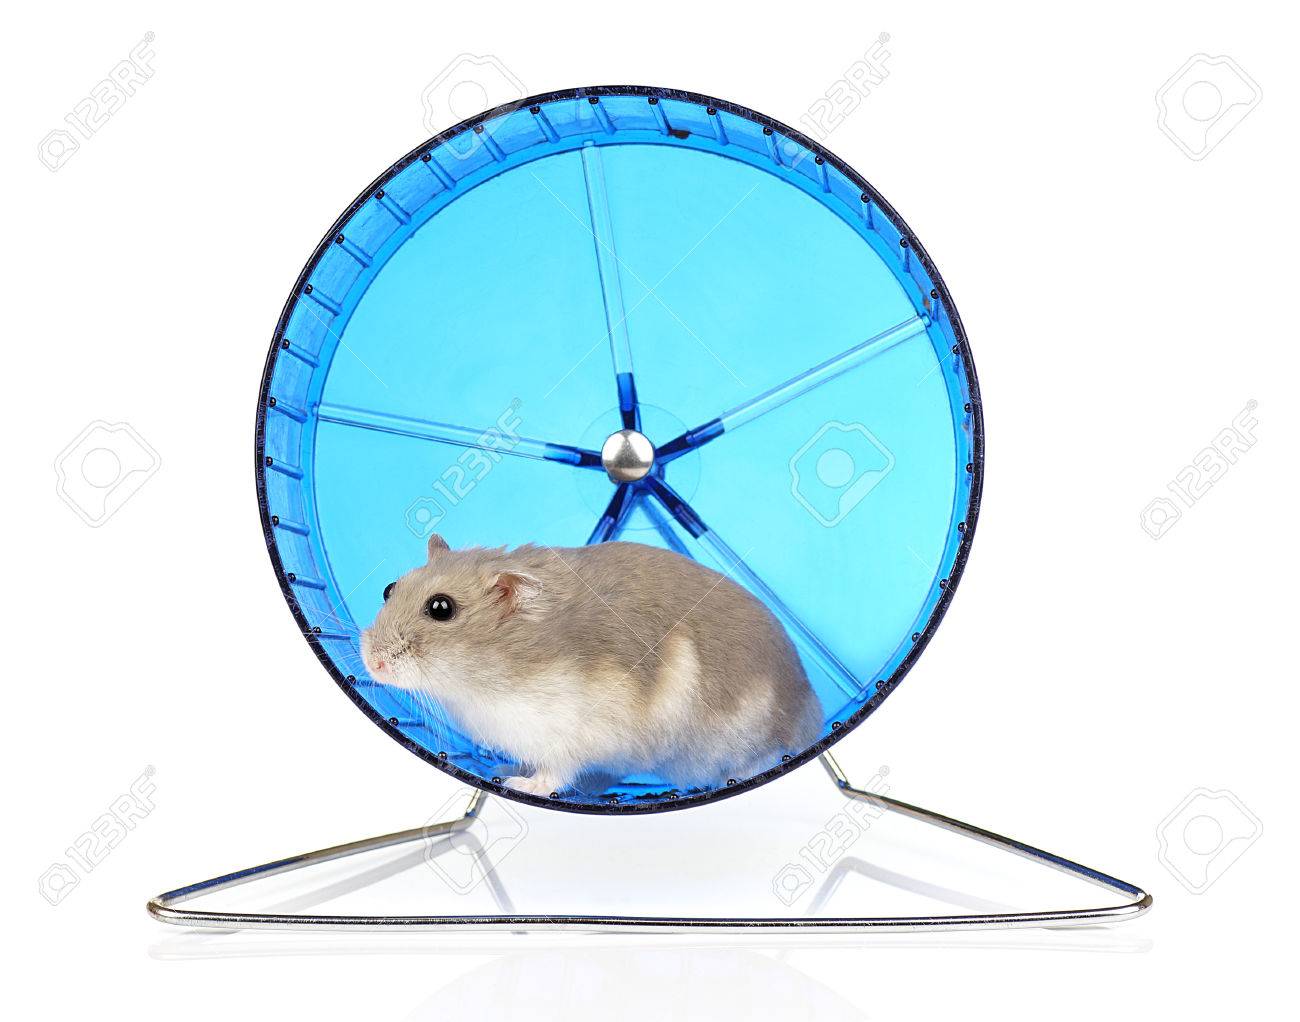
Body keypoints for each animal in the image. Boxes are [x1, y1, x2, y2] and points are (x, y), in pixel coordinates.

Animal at [360, 534, 823, 797]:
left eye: (441, 608)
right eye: (389, 588)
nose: (371, 664)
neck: (490, 678)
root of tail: (811, 709)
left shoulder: (572, 736)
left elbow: (554, 774)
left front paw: (519, 784)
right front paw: (502, 769)